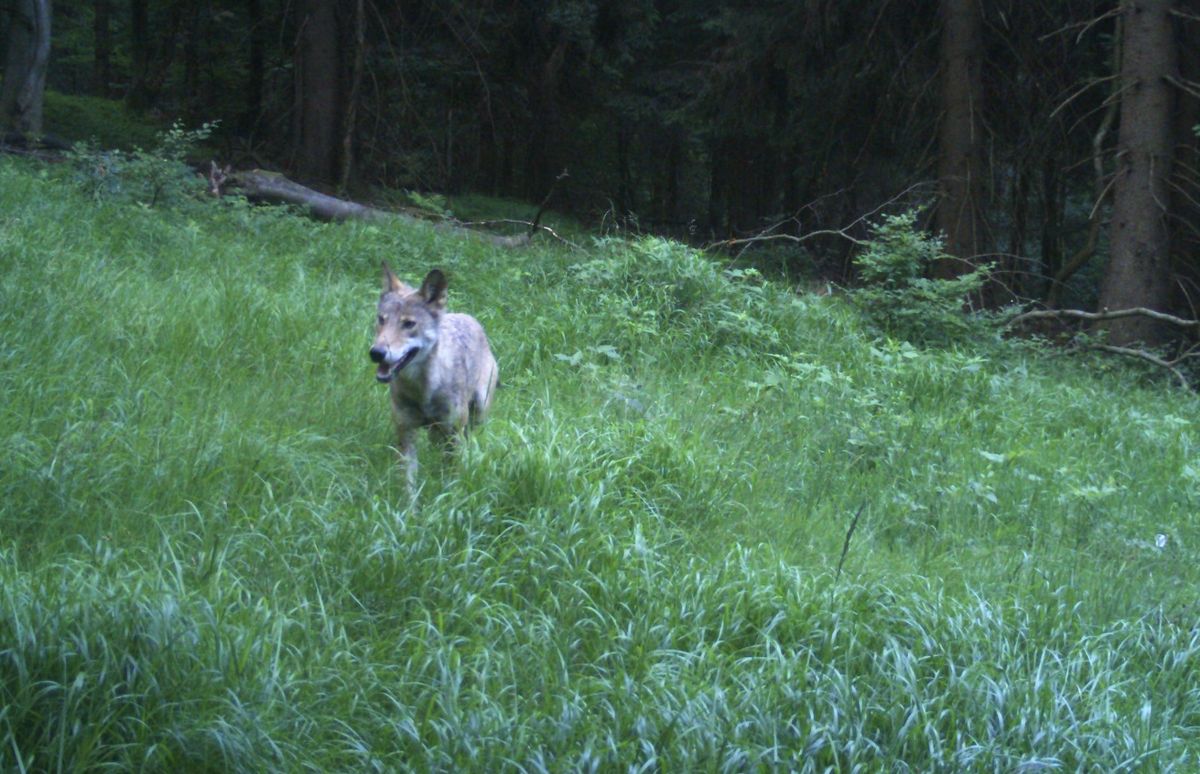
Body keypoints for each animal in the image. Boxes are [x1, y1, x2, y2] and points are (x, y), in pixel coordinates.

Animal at [364, 262, 496, 492]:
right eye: (381, 320)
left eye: (409, 324)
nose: (377, 353)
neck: (423, 390)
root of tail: (468, 317)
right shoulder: (405, 433)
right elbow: (408, 485)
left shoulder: (454, 435)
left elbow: (451, 482)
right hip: (437, 432)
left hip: (476, 414)